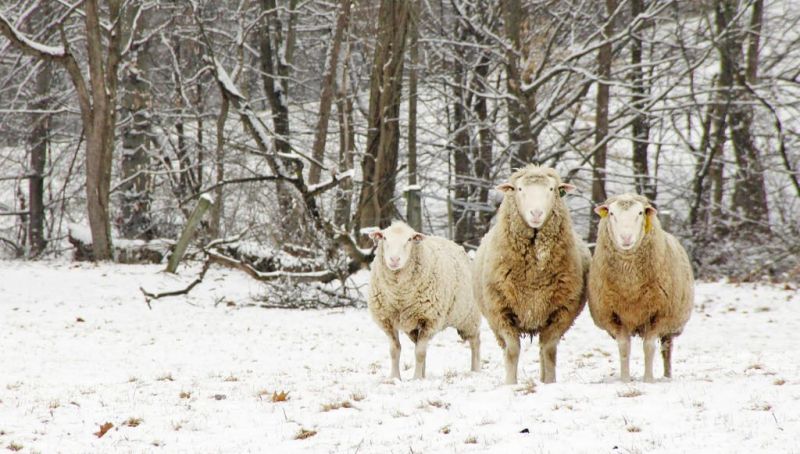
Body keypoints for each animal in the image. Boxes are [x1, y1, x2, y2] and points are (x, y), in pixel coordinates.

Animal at [368, 220, 482, 380]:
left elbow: (420, 353)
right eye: (384, 238)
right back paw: (424, 373)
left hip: (469, 316)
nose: (394, 260)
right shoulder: (387, 320)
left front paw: (416, 379)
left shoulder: (429, 320)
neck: (399, 295)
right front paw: (395, 378)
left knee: (475, 341)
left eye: (409, 239)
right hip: (414, 328)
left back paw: (475, 370)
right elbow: (395, 350)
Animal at [472, 164, 592, 384]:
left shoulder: (561, 312)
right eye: (519, 189)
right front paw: (510, 384)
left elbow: (549, 351)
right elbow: (512, 351)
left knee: (542, 350)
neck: (534, 276)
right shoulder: (502, 311)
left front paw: (549, 383)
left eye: (552, 189)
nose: (536, 213)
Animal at [588, 192, 692, 384]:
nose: (626, 238)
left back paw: (667, 376)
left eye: (640, 213)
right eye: (611, 213)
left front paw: (648, 380)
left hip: (671, 324)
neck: (631, 285)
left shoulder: (659, 313)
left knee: (666, 350)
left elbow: (649, 347)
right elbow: (624, 348)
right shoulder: (615, 315)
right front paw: (625, 379)